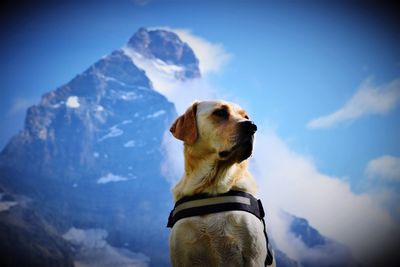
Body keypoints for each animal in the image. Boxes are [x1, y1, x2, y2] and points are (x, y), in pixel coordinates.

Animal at [169, 101, 276, 267]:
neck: (211, 187)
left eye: (246, 116)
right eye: (220, 112)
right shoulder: (181, 255)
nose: (252, 126)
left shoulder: (253, 257)